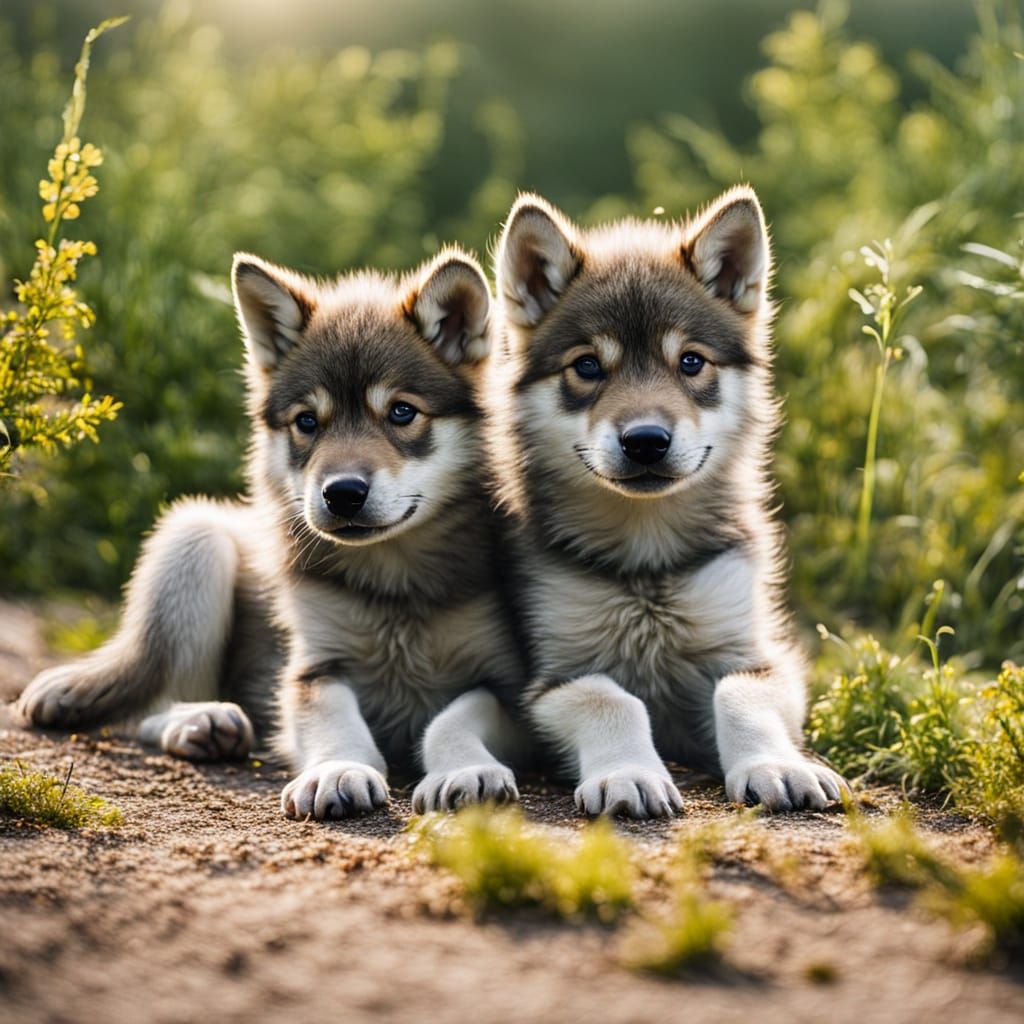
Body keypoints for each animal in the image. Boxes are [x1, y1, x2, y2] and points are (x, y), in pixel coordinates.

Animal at [17, 247, 526, 820]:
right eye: (307, 422)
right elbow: (332, 716)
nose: (342, 493)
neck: (394, 584)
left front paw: (466, 769)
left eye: (401, 412)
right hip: (196, 538)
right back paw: (201, 720)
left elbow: (452, 715)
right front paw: (337, 769)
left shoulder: (508, 686)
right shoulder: (312, 668)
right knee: (153, 702)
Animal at [487, 186, 848, 818]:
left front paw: (777, 766)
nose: (647, 441)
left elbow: (737, 693)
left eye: (691, 362)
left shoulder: (760, 655)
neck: (647, 561)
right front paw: (628, 773)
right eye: (587, 366)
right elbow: (612, 698)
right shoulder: (553, 678)